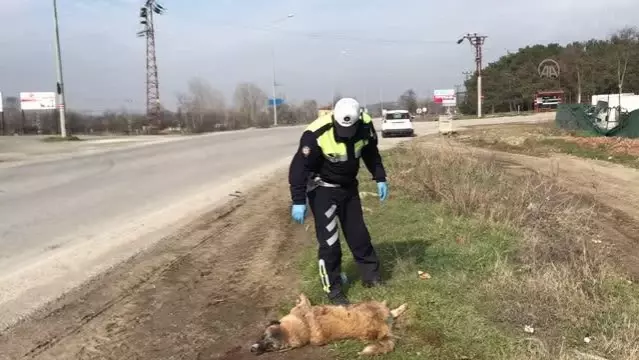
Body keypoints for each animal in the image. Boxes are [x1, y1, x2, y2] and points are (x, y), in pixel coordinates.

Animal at [251, 294, 410, 356]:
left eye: (268, 342)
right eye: (269, 346)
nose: (253, 350)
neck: (306, 326)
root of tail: (383, 329)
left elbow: (303, 300)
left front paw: (300, 298)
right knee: (393, 312)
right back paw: (400, 306)